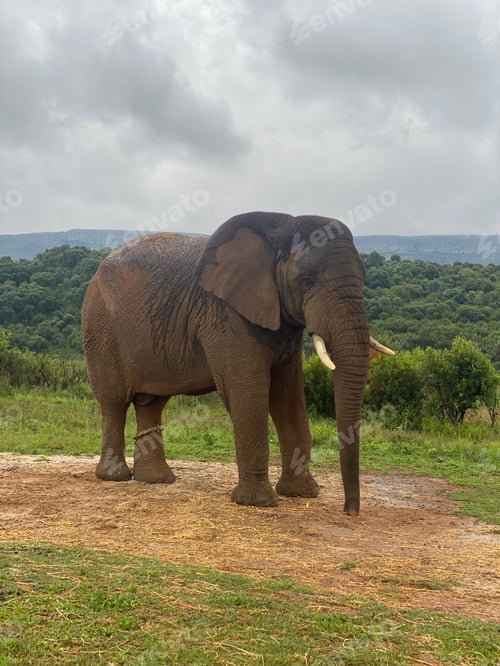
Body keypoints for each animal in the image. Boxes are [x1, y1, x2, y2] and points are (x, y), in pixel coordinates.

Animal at [81, 211, 393, 515]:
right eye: (305, 280)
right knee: (114, 402)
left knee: (151, 402)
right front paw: (257, 502)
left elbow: (288, 396)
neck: (282, 226)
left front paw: (301, 494)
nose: (349, 511)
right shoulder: (224, 313)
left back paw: (157, 480)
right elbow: (248, 391)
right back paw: (114, 477)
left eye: (364, 277)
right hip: (100, 326)